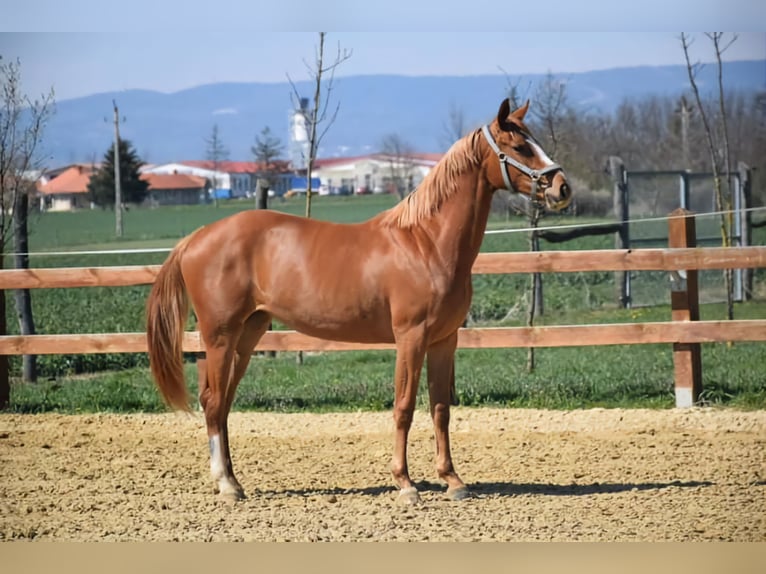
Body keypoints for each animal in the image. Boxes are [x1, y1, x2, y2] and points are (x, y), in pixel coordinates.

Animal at [147, 98, 572, 504]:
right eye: (519, 146)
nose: (562, 188)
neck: (426, 242)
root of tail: (195, 238)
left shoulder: (444, 340)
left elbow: (440, 409)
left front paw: (452, 481)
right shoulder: (410, 337)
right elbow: (404, 407)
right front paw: (405, 484)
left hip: (246, 335)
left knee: (221, 404)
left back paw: (233, 481)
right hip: (221, 335)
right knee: (214, 401)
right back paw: (227, 486)